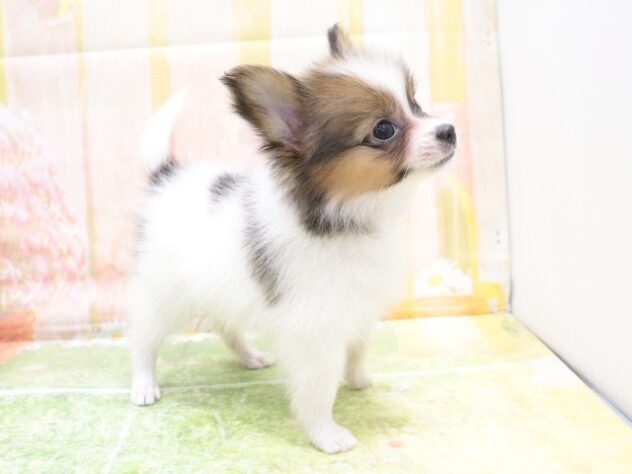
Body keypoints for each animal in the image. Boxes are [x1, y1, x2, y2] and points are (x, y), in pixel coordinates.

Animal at [130, 24, 456, 454]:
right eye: (384, 129)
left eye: (415, 103)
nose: (448, 130)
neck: (350, 218)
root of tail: (167, 176)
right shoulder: (315, 332)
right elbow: (318, 390)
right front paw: (326, 434)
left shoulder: (359, 309)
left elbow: (358, 349)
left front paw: (358, 381)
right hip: (162, 295)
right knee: (144, 340)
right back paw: (144, 385)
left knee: (225, 326)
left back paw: (250, 357)